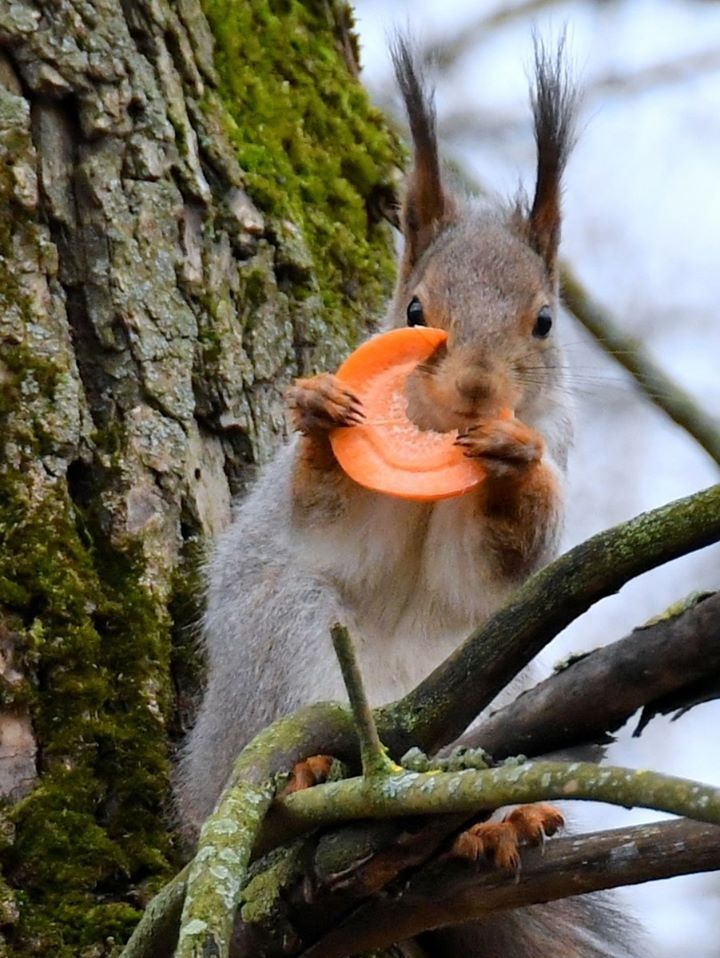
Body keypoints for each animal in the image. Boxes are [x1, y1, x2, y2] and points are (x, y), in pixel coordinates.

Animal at [177, 37, 644, 958]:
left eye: (544, 322)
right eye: (415, 306)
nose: (474, 389)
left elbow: (499, 560)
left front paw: (515, 463)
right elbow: (335, 521)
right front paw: (323, 416)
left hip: (489, 688)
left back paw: (494, 824)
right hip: (285, 644)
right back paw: (310, 770)